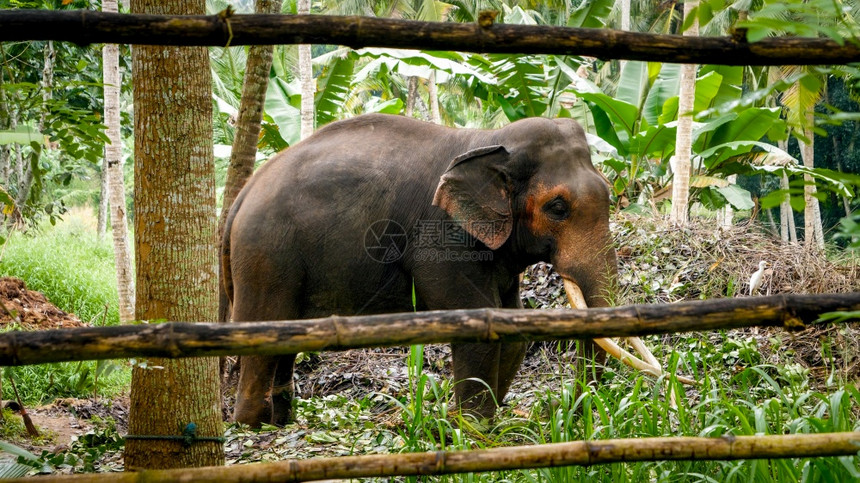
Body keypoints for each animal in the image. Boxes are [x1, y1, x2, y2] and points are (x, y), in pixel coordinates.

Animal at [222, 113, 620, 428]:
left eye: (608, 192)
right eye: (557, 207)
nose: (562, 409)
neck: (487, 140)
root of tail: (241, 197)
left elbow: (511, 326)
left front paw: (483, 425)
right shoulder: (442, 239)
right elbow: (478, 323)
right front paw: (473, 430)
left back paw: (280, 422)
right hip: (266, 256)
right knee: (264, 334)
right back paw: (251, 426)